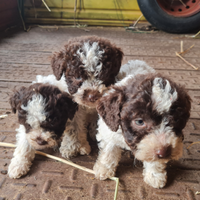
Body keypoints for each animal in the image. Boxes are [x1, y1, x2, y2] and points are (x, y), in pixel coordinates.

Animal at [93, 60, 191, 188]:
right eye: (140, 121)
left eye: (177, 120)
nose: (164, 152)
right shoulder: (108, 130)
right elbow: (109, 150)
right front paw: (103, 169)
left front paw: (155, 176)